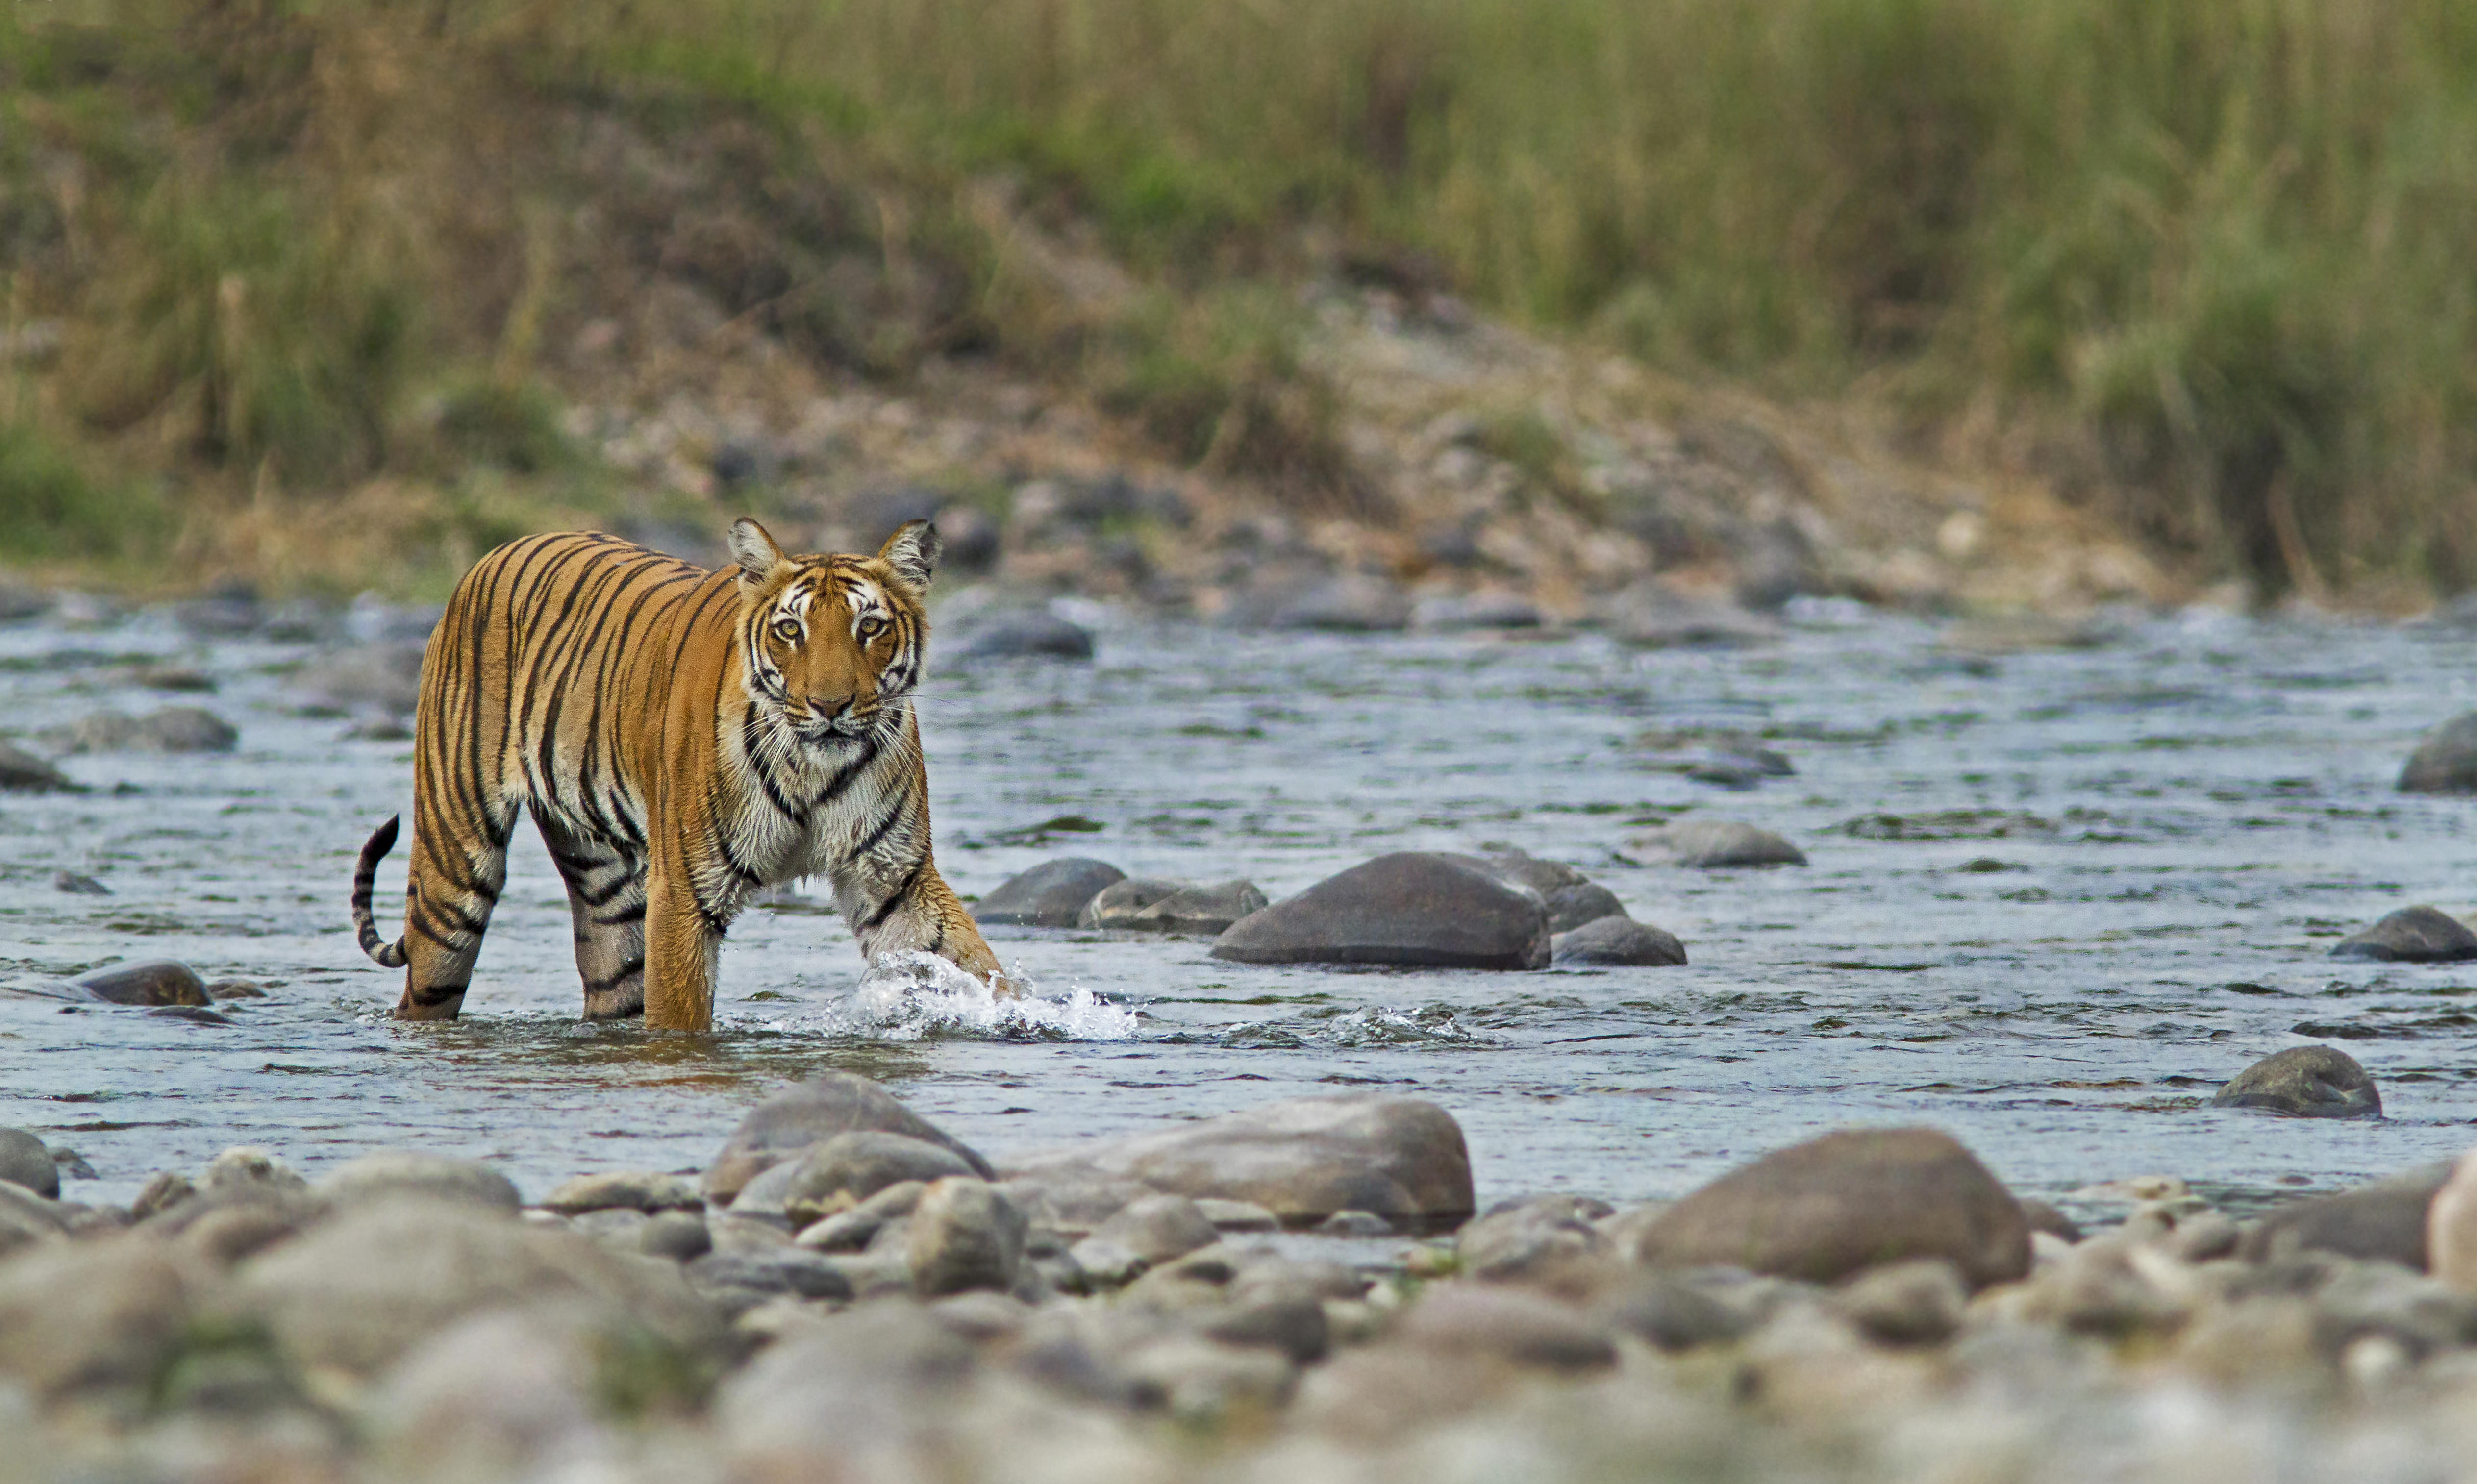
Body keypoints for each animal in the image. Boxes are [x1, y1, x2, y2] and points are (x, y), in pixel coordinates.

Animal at [349, 520, 1005, 1036]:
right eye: (790, 631)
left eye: (869, 627)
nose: (830, 706)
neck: (812, 768)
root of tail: (494, 553)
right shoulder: (686, 891)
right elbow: (680, 1019)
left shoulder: (894, 876)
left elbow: (975, 964)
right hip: (455, 869)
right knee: (427, 982)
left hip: (606, 893)